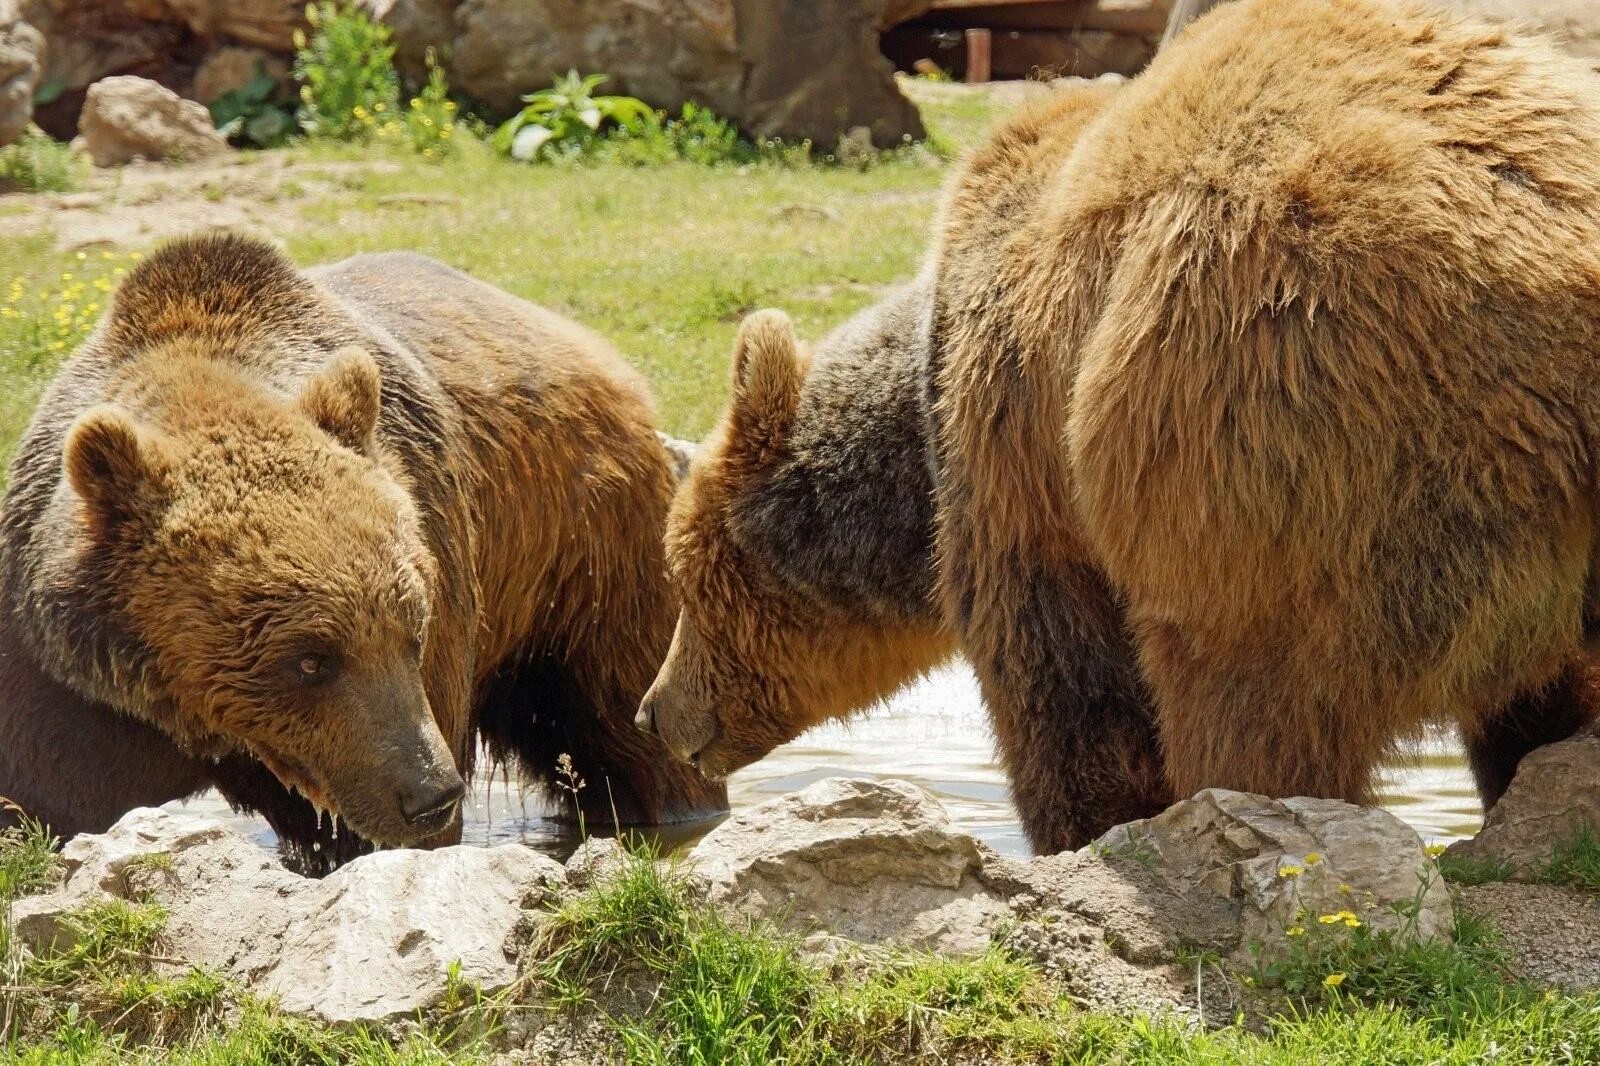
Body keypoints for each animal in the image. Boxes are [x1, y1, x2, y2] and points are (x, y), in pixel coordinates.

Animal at [0, 230, 726, 864]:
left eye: (414, 630)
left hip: (584, 558)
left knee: (625, 724)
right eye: (309, 659)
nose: (431, 794)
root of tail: (602, 358)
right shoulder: (69, 674)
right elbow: (45, 791)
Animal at [633, 0, 1600, 851]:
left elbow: (1070, 695)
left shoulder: (1017, 466)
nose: (656, 710)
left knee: (1257, 705)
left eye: (682, 582)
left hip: (1286, 447)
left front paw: (1088, 833)